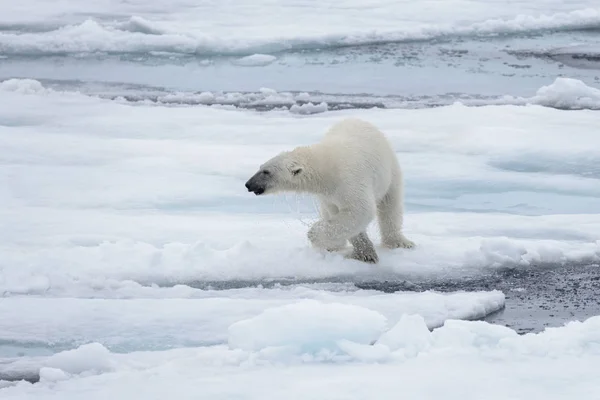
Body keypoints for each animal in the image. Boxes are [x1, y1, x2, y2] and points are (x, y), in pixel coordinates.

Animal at [244, 117, 412, 264]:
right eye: (261, 167)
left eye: (266, 172)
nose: (248, 184)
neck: (326, 166)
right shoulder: (329, 195)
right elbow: (342, 216)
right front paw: (365, 252)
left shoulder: (350, 180)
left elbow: (359, 210)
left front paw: (314, 233)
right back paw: (334, 246)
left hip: (390, 171)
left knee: (390, 206)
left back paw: (398, 242)